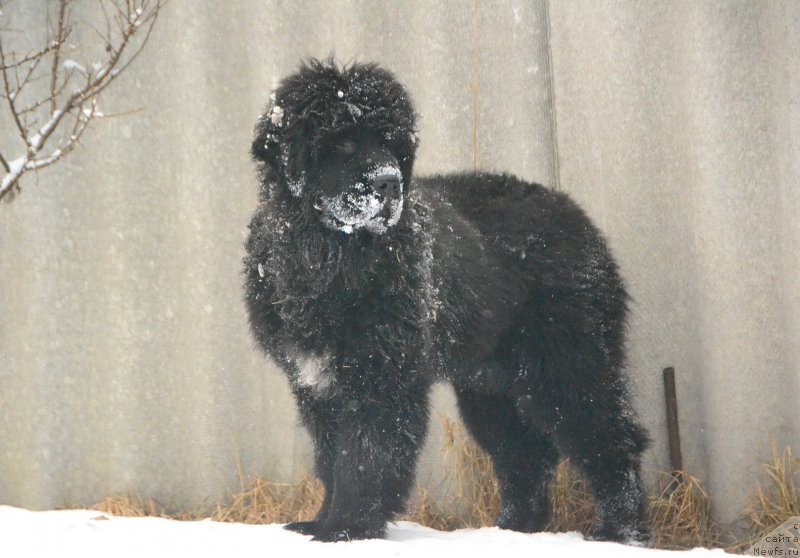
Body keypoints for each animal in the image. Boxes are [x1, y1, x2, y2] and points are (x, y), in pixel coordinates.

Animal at [242, 59, 648, 544]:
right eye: (340, 140)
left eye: (390, 143)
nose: (388, 182)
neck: (328, 258)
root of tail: (577, 217)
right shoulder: (315, 382)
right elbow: (330, 460)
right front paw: (319, 522)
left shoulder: (382, 379)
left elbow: (365, 457)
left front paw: (347, 528)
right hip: (490, 386)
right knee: (523, 456)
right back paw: (510, 531)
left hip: (569, 364)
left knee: (610, 439)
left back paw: (620, 533)